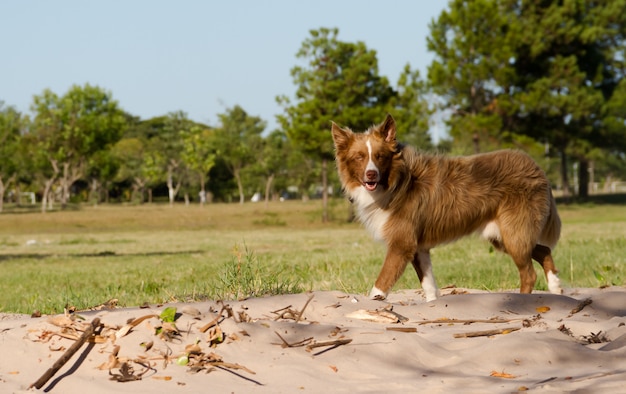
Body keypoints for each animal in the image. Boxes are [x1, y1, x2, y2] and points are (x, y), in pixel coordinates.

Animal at [332, 114, 560, 302]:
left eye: (380, 156)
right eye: (359, 157)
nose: (371, 174)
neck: (397, 181)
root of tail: (537, 168)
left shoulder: (401, 244)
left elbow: (381, 284)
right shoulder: (418, 247)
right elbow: (428, 284)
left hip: (514, 232)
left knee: (529, 273)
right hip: (502, 235)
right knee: (544, 249)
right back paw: (556, 289)